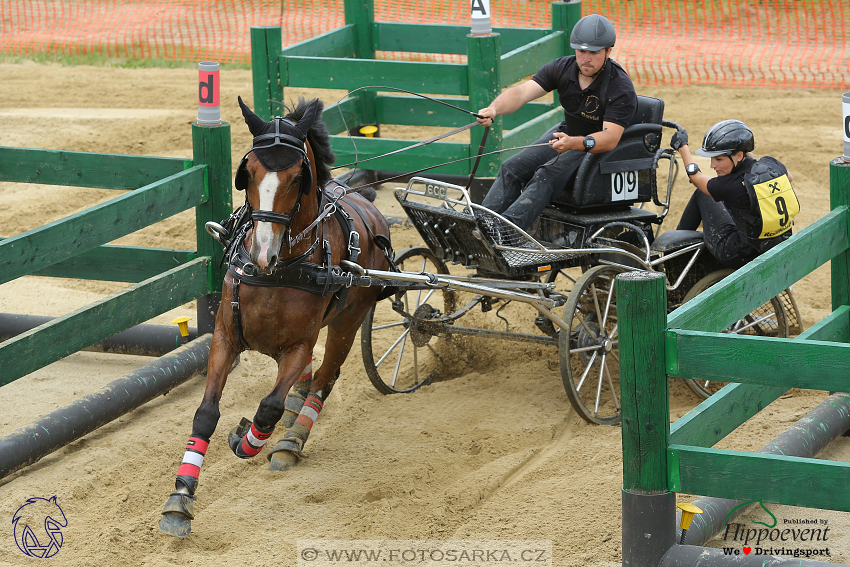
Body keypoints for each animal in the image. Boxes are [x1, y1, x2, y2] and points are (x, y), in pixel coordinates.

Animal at [158, 96, 390, 536]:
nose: (263, 250)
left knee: (324, 379)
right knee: (309, 382)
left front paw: (246, 440)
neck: (280, 269)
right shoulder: (224, 337)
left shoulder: (298, 345)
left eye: (298, 177)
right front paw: (180, 497)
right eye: (247, 171)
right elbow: (205, 414)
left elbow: (268, 407)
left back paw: (291, 440)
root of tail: (369, 205)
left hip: (349, 322)